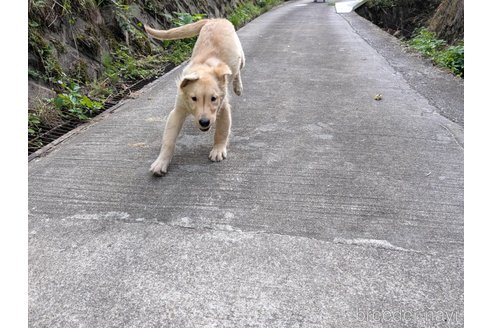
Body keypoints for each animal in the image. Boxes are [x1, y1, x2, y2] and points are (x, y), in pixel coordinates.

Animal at [145, 18, 246, 176]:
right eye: (193, 99)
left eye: (213, 99)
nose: (204, 122)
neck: (203, 68)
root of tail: (215, 19)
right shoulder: (178, 110)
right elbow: (168, 139)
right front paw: (161, 162)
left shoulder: (223, 106)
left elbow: (222, 131)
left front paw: (218, 149)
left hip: (241, 57)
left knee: (237, 70)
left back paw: (238, 87)